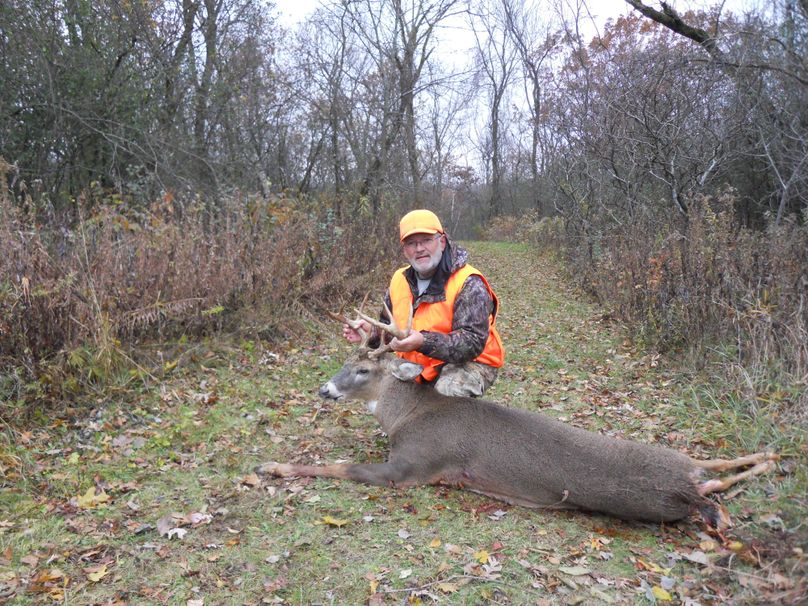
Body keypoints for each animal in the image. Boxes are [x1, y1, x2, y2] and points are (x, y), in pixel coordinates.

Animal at [256, 303, 779, 527]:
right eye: (343, 362)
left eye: (363, 370)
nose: (324, 388)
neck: (404, 417)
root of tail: (685, 487)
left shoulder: (410, 468)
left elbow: (339, 468)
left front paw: (269, 466)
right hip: (682, 459)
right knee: (715, 466)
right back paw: (770, 456)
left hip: (665, 497)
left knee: (711, 488)